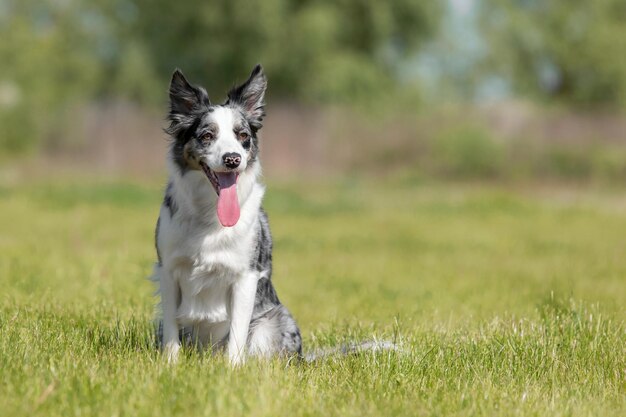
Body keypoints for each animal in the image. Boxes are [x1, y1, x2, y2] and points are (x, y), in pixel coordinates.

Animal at [155, 65, 302, 364]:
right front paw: (171, 365)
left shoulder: (245, 277)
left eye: (242, 135)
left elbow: (237, 332)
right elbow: (172, 330)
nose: (233, 159)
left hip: (274, 322)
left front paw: (232, 369)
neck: (209, 214)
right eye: (207, 136)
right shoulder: (168, 269)